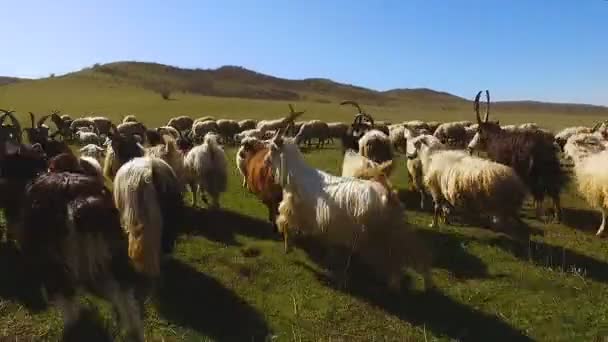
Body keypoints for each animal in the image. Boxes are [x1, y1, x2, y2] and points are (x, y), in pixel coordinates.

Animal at [470, 89, 564, 222]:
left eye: (478, 130)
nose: (470, 147)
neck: (495, 139)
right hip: (548, 171)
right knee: (553, 191)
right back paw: (556, 216)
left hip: (534, 174)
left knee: (541, 193)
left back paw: (543, 214)